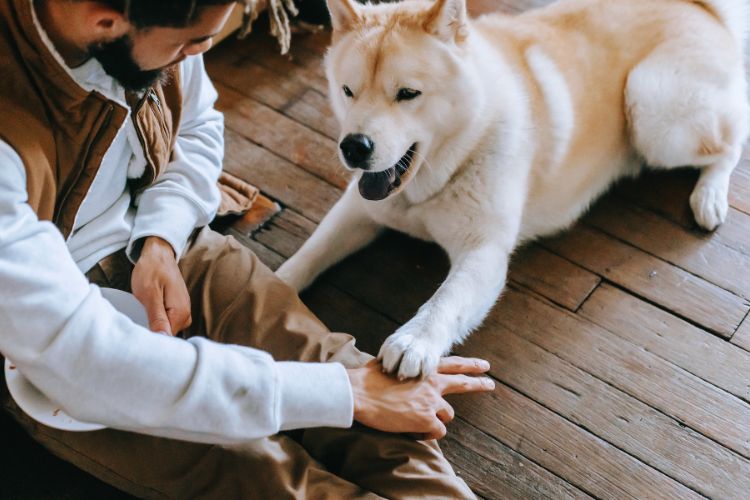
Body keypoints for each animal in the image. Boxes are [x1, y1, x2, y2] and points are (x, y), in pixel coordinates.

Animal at [278, 0, 750, 376]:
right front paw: (274, 285)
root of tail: (701, 8)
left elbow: (445, 300)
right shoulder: (359, 208)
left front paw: (415, 341)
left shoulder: (483, 250)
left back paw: (709, 196)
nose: (354, 146)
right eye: (348, 91)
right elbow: (310, 253)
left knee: (731, 143)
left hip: (651, 108)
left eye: (408, 94)